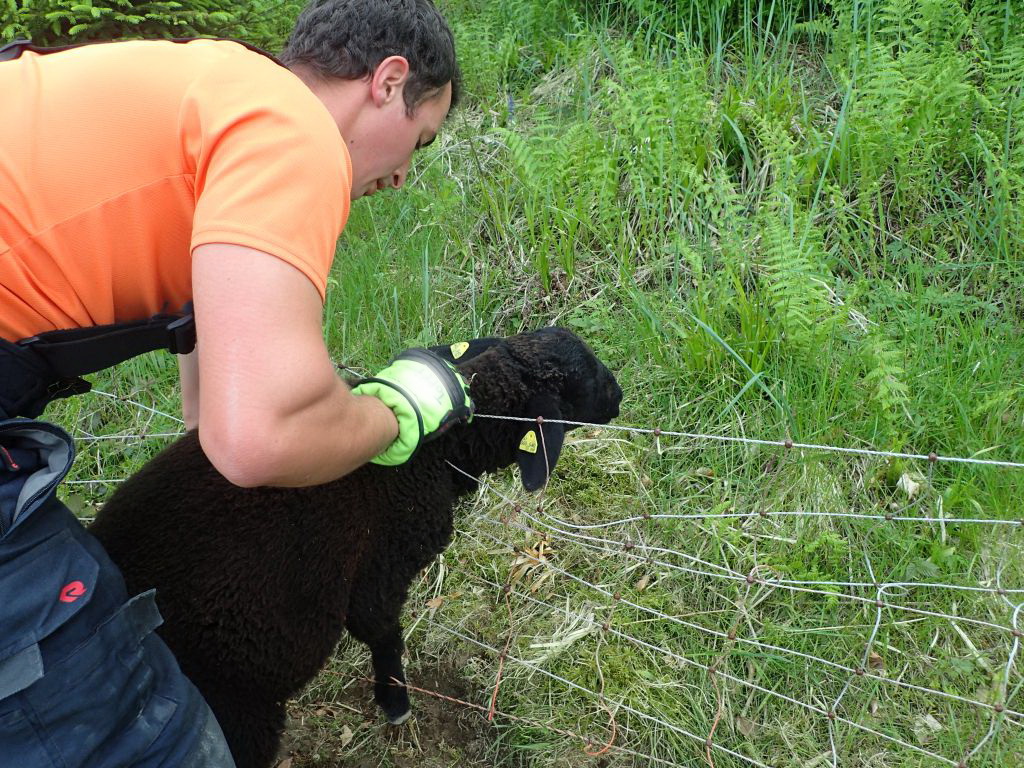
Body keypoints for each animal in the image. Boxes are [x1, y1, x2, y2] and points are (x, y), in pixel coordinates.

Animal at [90, 327, 622, 765]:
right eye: (583, 382)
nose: (620, 396)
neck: (440, 453)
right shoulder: (380, 570)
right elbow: (383, 633)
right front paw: (396, 704)